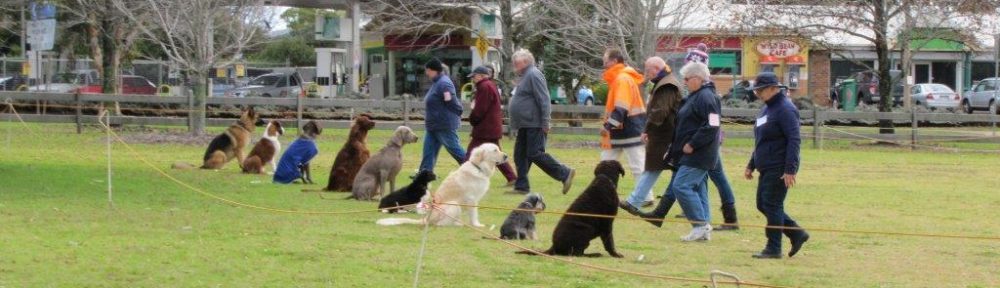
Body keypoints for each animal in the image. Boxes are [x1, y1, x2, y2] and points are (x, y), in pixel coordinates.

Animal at [376, 143, 508, 227]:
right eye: (495, 150)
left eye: (498, 149)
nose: (506, 156)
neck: (479, 167)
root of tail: (425, 219)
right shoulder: (471, 199)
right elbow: (474, 214)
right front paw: (477, 225)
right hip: (454, 205)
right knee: (439, 224)